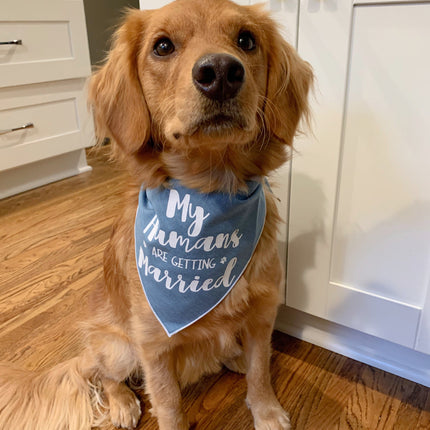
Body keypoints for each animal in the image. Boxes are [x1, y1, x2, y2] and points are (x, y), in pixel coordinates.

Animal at [0, 0, 310, 430]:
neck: (207, 194)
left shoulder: (263, 314)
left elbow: (260, 370)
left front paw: (266, 411)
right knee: (105, 376)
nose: (220, 73)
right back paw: (122, 404)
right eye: (162, 46)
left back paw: (231, 357)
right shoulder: (153, 343)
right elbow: (168, 402)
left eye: (246, 40)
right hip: (118, 348)